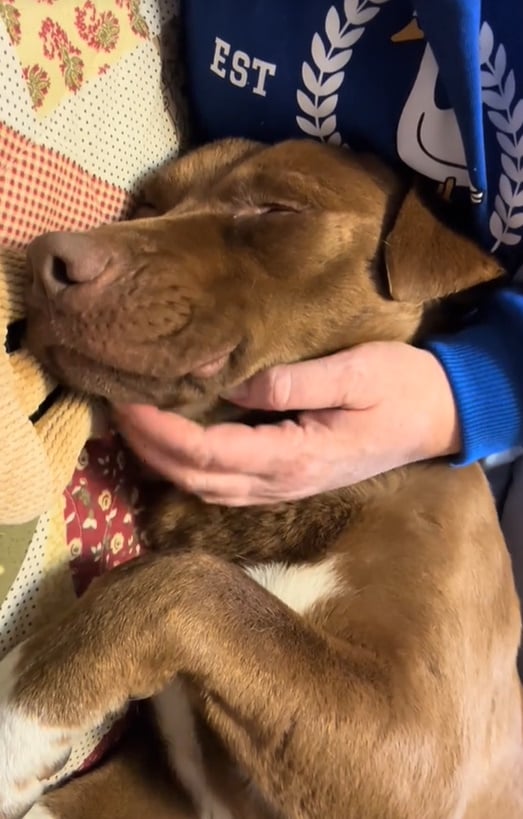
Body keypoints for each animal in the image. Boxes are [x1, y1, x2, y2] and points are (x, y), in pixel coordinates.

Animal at [1, 141, 523, 819]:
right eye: (148, 205)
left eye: (276, 209)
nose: (46, 260)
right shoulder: (172, 788)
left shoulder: (425, 752)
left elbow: (181, 582)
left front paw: (15, 717)